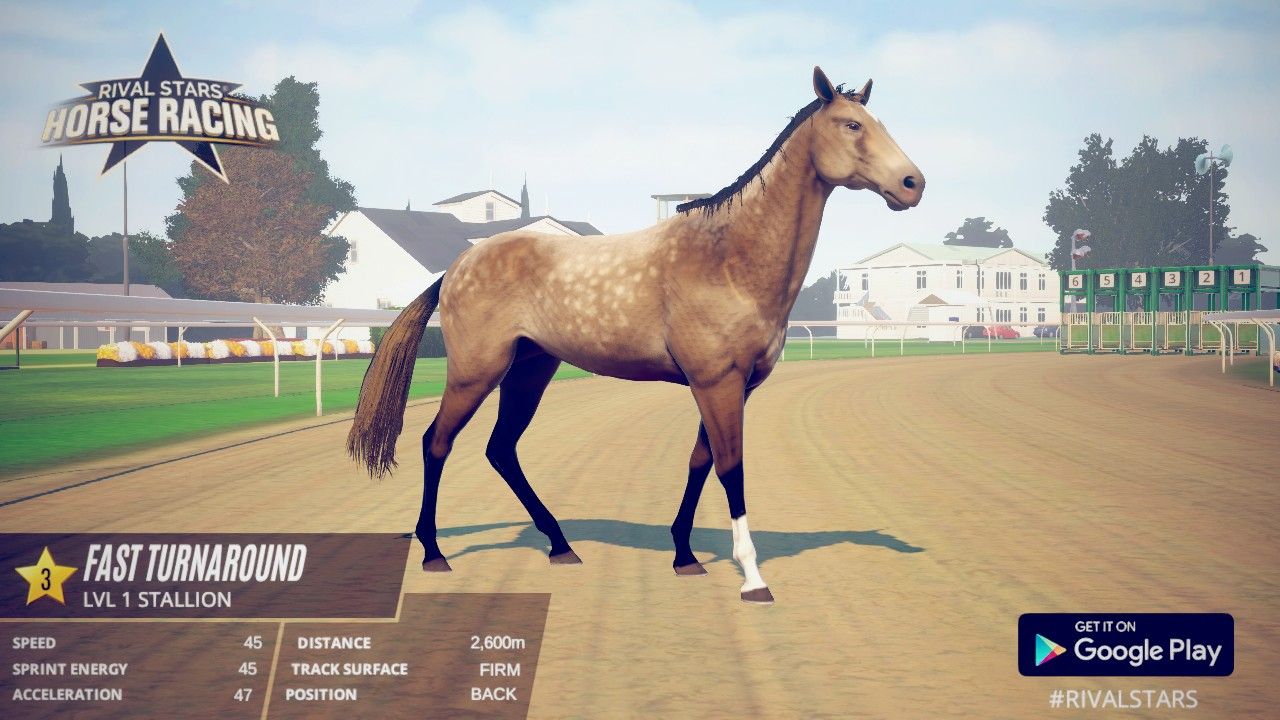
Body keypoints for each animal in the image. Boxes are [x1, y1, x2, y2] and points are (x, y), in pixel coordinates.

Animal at [348, 66, 924, 604]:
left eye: (879, 122)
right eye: (852, 125)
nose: (912, 184)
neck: (728, 257)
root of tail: (456, 267)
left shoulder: (727, 386)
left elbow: (700, 461)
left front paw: (685, 555)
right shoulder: (717, 382)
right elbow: (730, 467)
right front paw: (752, 578)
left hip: (532, 368)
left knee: (501, 449)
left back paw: (561, 545)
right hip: (476, 372)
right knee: (437, 442)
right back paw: (434, 553)